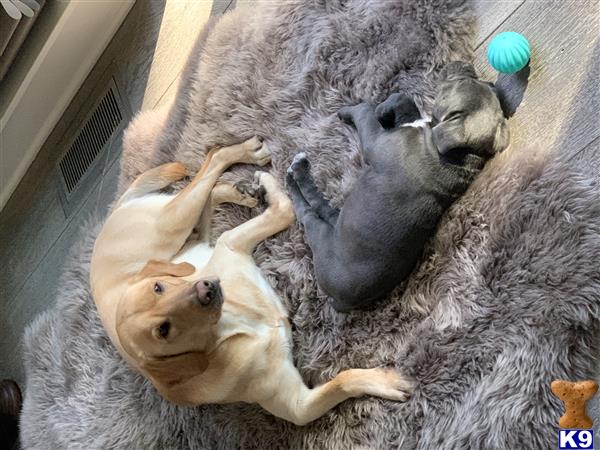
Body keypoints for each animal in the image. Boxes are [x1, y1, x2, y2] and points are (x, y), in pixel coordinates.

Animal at [90, 137, 412, 426]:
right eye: (163, 330)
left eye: (159, 287)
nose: (206, 289)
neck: (235, 322)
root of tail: (113, 212)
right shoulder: (298, 407)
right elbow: (342, 380)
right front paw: (384, 381)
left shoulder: (230, 242)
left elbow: (280, 210)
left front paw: (269, 184)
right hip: (171, 225)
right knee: (206, 182)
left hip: (175, 227)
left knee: (211, 166)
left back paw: (243, 167)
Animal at [288, 61, 508, 312]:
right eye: (477, 82)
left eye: (463, 82)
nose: (464, 64)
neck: (461, 153)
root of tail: (341, 302)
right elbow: (404, 100)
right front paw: (388, 109)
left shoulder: (374, 141)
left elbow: (364, 111)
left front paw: (361, 110)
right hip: (338, 222)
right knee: (324, 207)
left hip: (320, 237)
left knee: (306, 212)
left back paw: (296, 172)